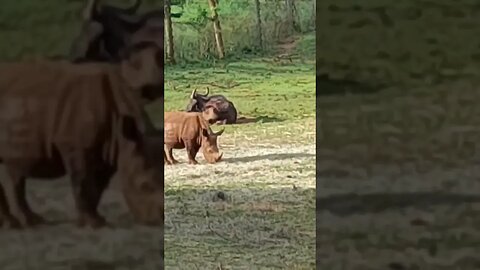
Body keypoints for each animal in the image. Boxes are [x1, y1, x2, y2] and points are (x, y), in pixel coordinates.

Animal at [0, 41, 164, 229]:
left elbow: (97, 186)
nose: (159, 220)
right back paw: (16, 224)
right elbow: (82, 181)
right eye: (144, 186)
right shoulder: (74, 145)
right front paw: (93, 224)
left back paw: (28, 222)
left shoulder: (108, 149)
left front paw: (93, 220)